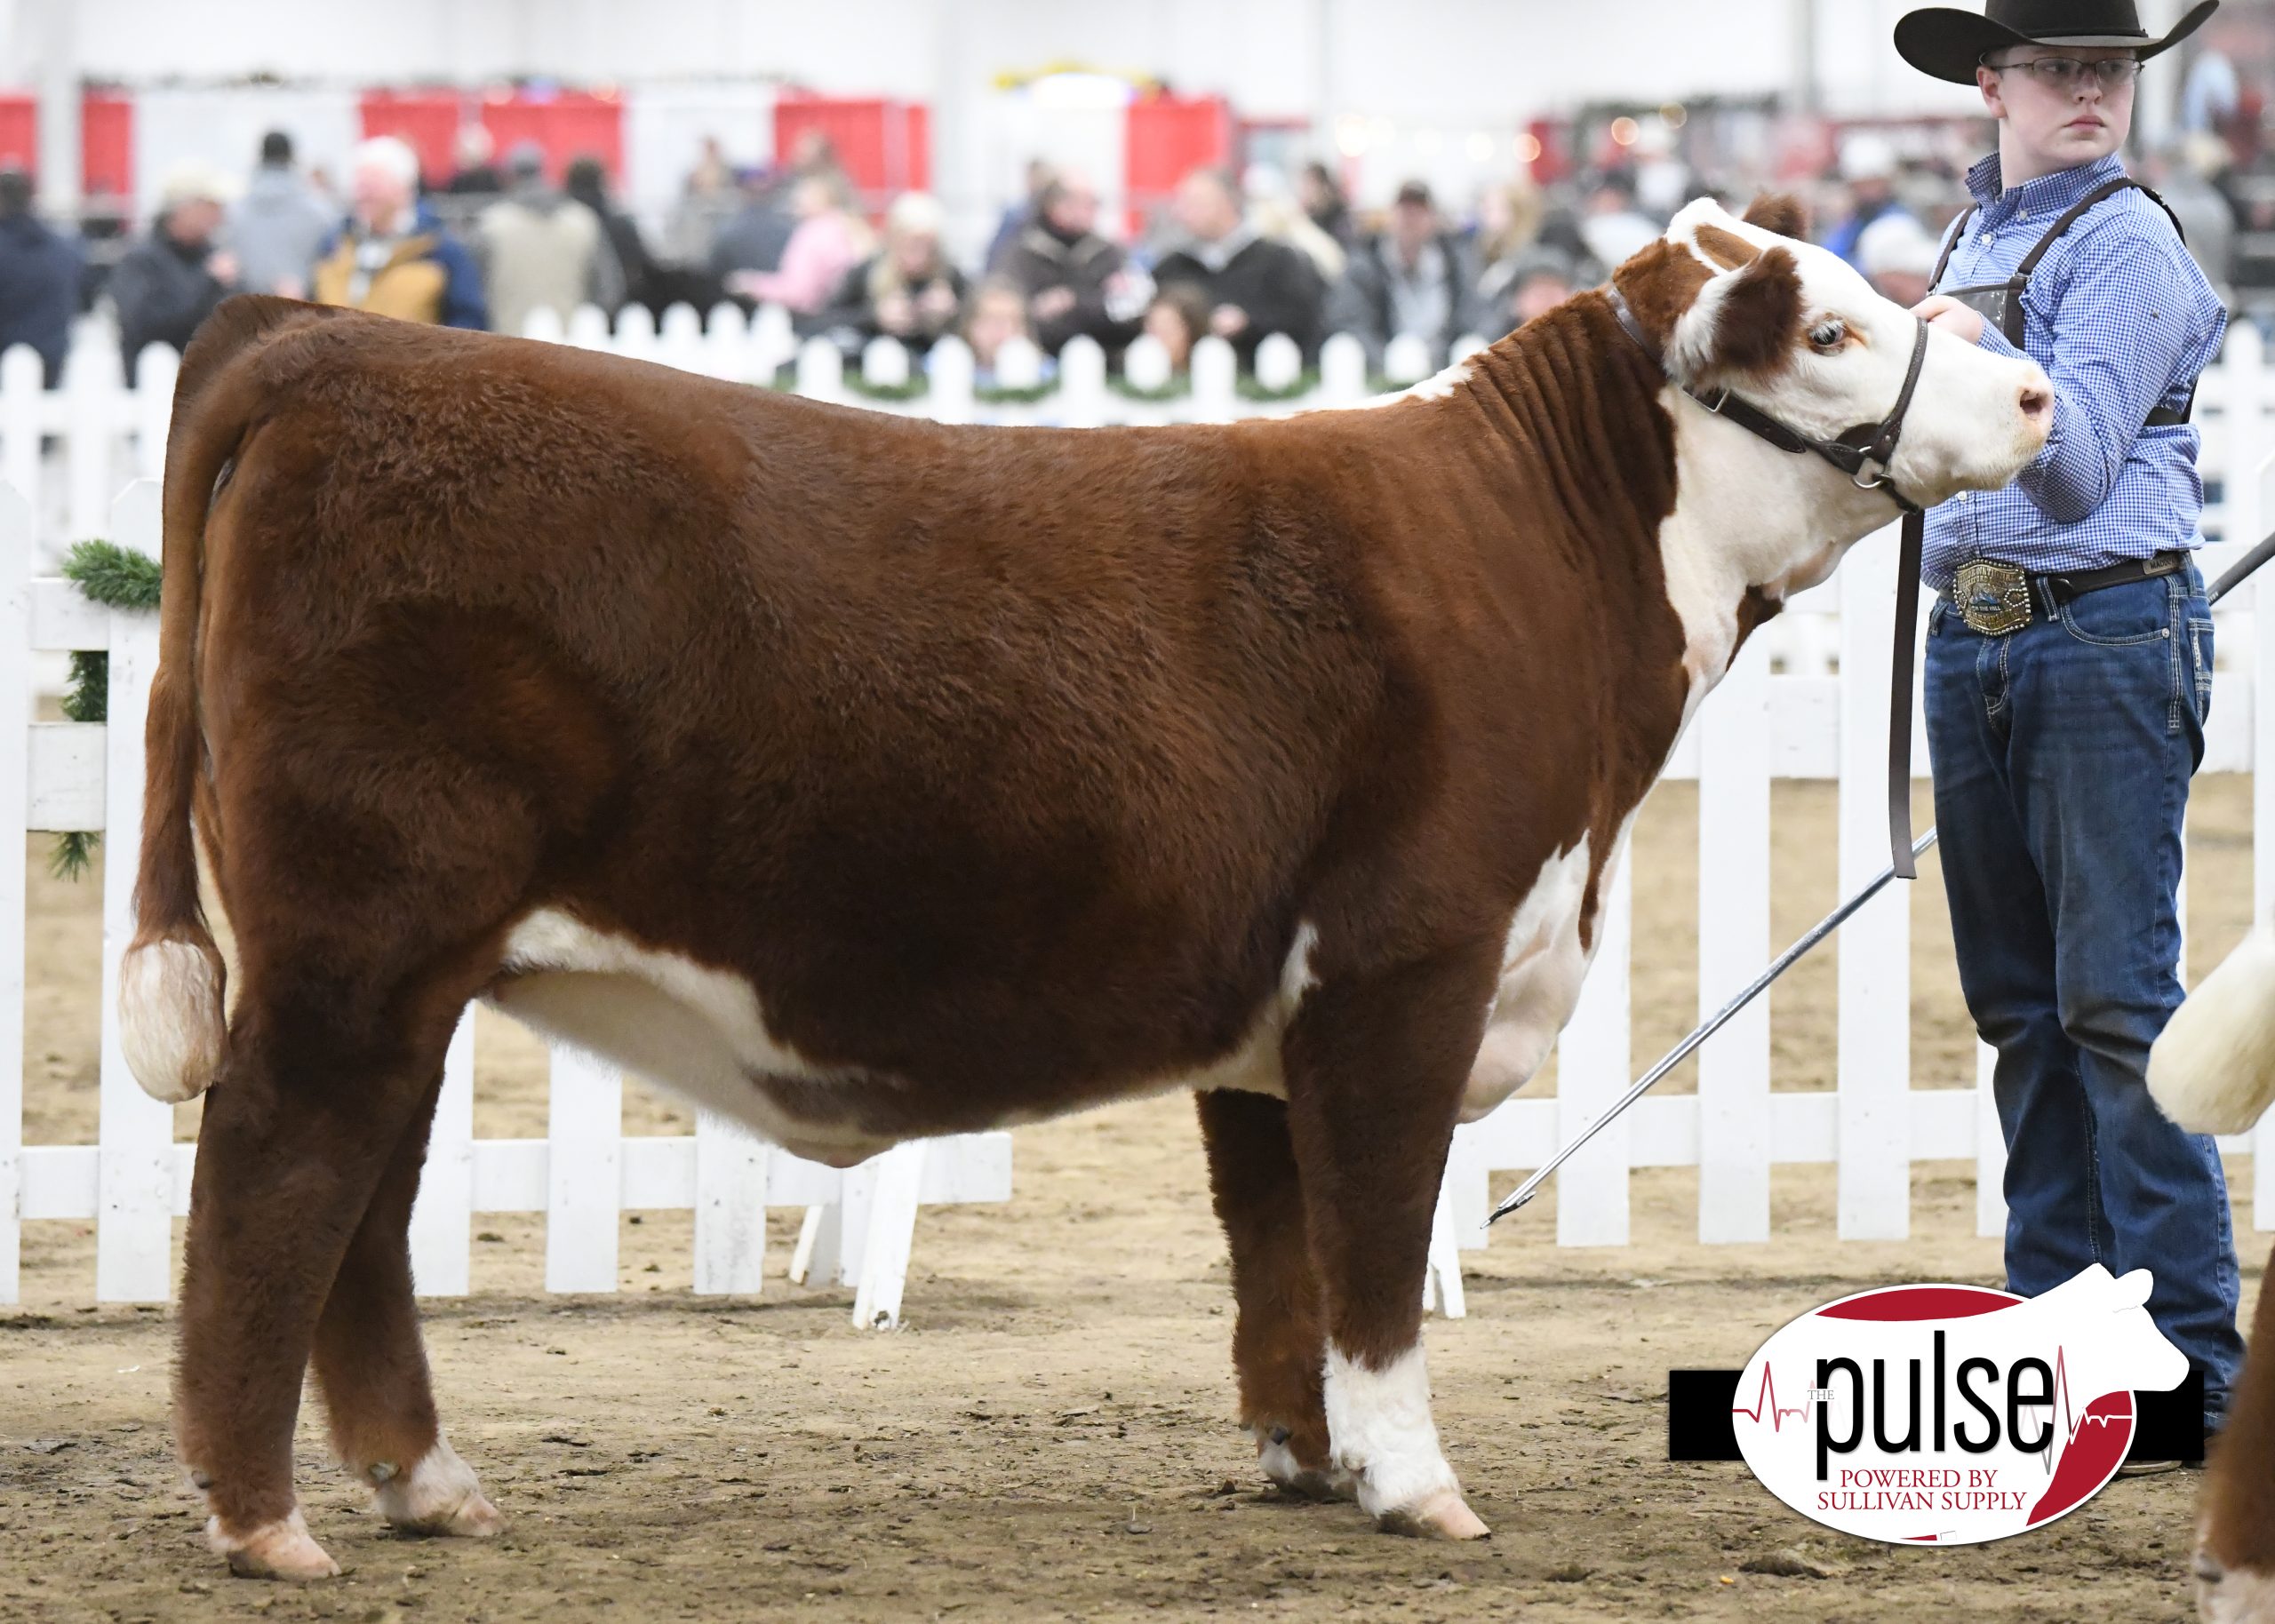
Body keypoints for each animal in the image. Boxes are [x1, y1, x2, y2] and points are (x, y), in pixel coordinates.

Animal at [120, 189, 2048, 1564]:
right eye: (1828, 327)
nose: (2034, 390)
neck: (1531, 564)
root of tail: (324, 344)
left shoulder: (1284, 999)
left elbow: (1278, 1244)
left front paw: (1302, 1460)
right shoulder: (1405, 961)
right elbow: (1370, 1243)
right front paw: (1415, 1481)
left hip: (411, 960)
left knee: (364, 1201)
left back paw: (426, 1482)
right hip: (355, 938)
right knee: (274, 1173)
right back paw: (261, 1518)